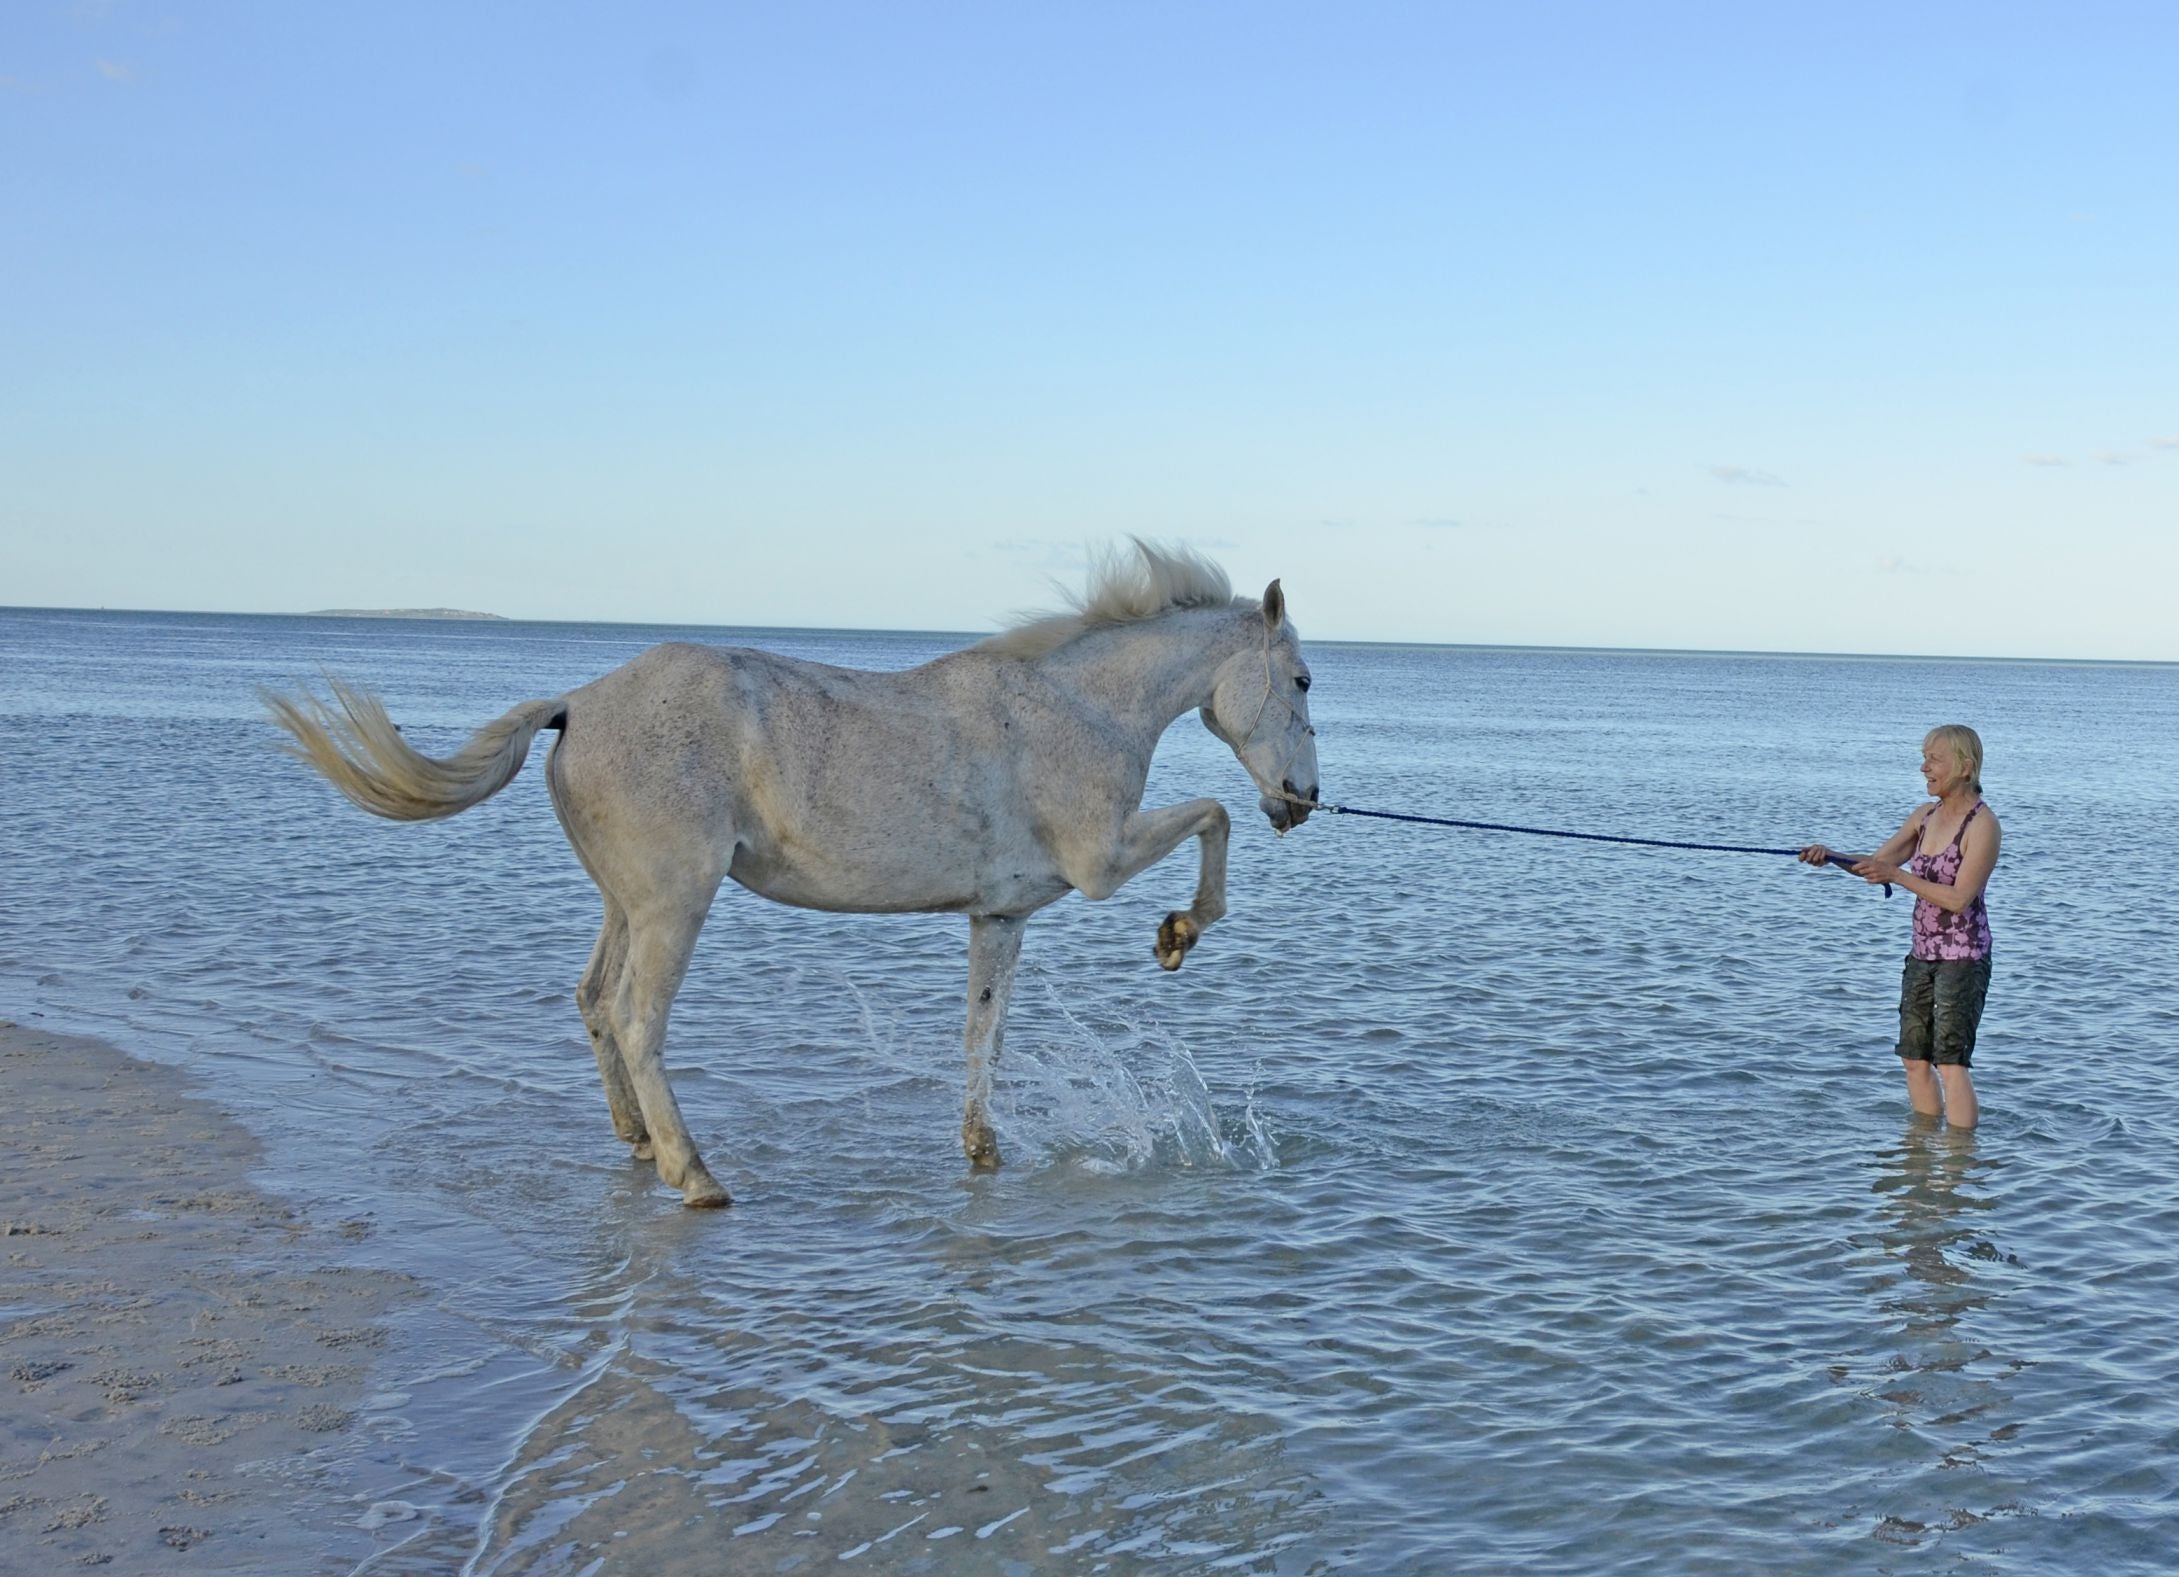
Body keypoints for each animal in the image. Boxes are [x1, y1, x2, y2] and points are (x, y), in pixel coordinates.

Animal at [272, 542, 1324, 1211]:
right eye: (1305, 680)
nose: (1304, 799)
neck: (1077, 707)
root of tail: (576, 703)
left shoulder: (1001, 915)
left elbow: (982, 1037)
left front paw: (981, 1150)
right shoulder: (1100, 862)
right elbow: (1213, 815)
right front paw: (1179, 932)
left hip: (625, 902)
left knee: (592, 1000)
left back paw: (639, 1142)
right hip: (676, 901)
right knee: (637, 1017)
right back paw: (693, 1174)